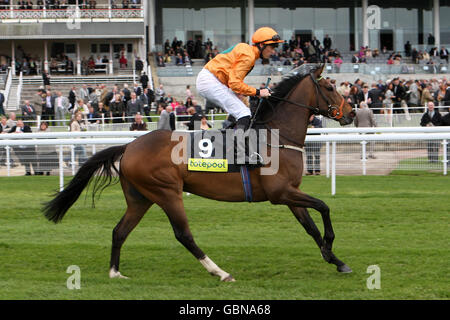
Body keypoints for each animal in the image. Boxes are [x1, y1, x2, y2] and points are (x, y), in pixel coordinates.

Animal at [44, 63, 356, 282]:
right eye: (330, 87)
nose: (352, 113)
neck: (276, 136)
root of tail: (130, 146)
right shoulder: (280, 193)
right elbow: (324, 207)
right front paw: (330, 247)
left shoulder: (290, 193)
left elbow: (310, 226)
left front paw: (336, 260)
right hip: (166, 192)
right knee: (184, 235)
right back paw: (220, 272)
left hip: (140, 198)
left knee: (120, 231)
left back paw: (115, 272)